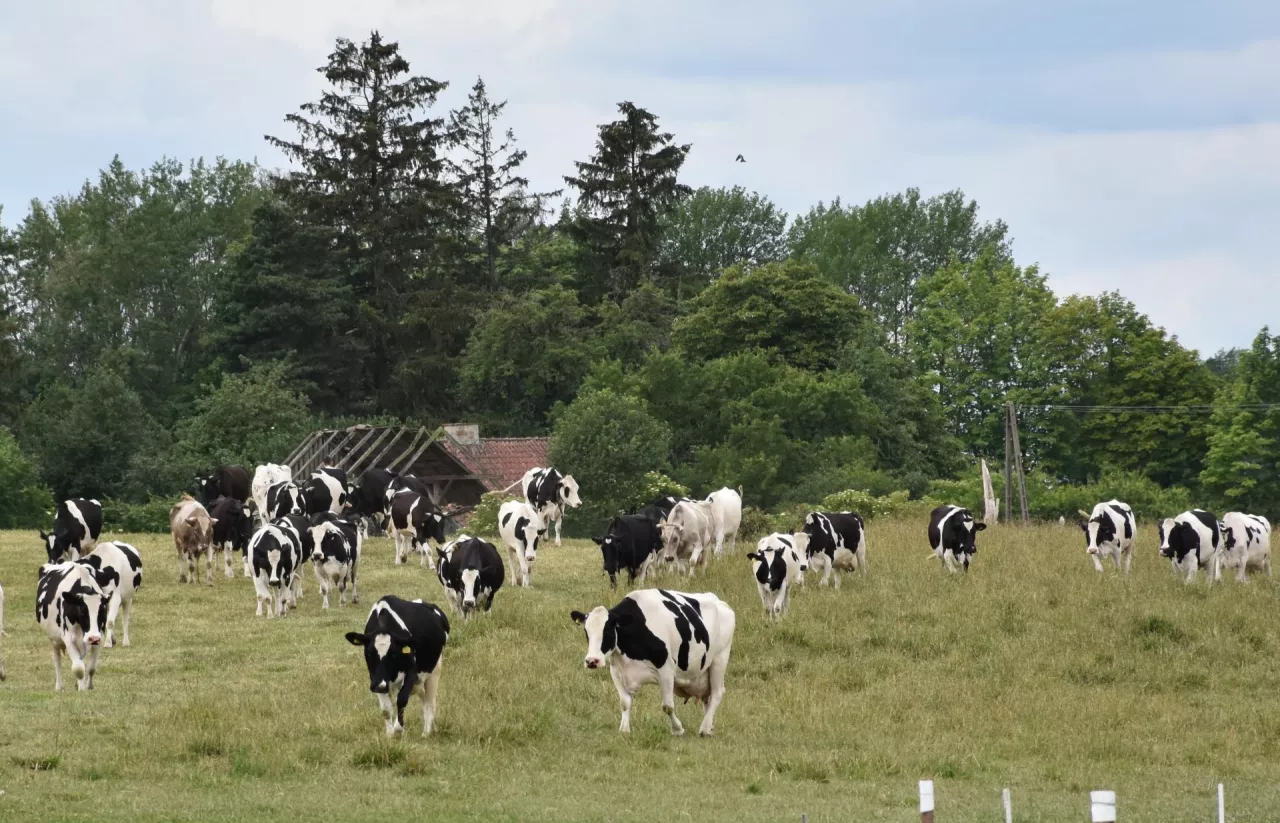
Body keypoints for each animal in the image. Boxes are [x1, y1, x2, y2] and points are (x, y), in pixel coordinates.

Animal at [35, 563, 107, 691]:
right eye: (82, 611)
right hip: (54, 640)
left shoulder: (101, 636)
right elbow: (78, 668)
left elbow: (91, 668)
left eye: (103, 611)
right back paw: (59, 687)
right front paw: (82, 690)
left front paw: (88, 686)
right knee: (57, 661)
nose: (93, 638)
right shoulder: (68, 638)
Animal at [345, 596, 450, 737]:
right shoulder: (375, 678)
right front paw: (390, 734)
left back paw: (426, 733)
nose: (380, 686)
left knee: (429, 702)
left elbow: (402, 699)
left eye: (393, 653)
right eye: (369, 652)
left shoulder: (411, 673)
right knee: (422, 696)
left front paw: (398, 729)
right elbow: (385, 709)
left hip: (434, 671)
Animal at [568, 588, 737, 737]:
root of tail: (720, 602)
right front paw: (624, 729)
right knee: (707, 698)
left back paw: (704, 729)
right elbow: (625, 702)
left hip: (720, 659)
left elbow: (667, 706)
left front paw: (677, 729)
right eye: (586, 632)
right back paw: (709, 726)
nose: (592, 661)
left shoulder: (666, 669)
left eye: (608, 631)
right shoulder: (616, 670)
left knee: (717, 693)